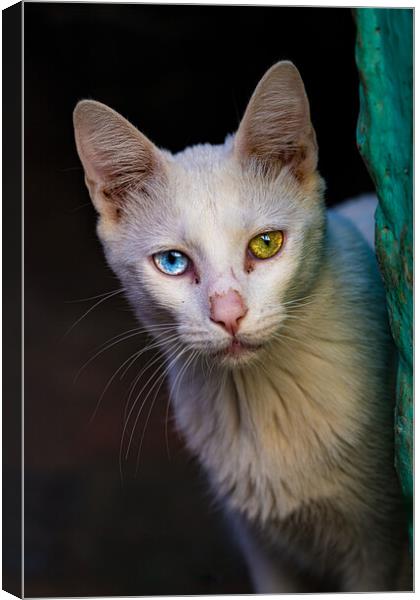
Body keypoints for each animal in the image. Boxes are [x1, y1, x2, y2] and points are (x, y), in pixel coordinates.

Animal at [73, 59, 410, 592]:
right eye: (172, 262)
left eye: (266, 244)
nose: (228, 313)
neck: (260, 399)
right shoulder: (262, 548)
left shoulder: (379, 549)